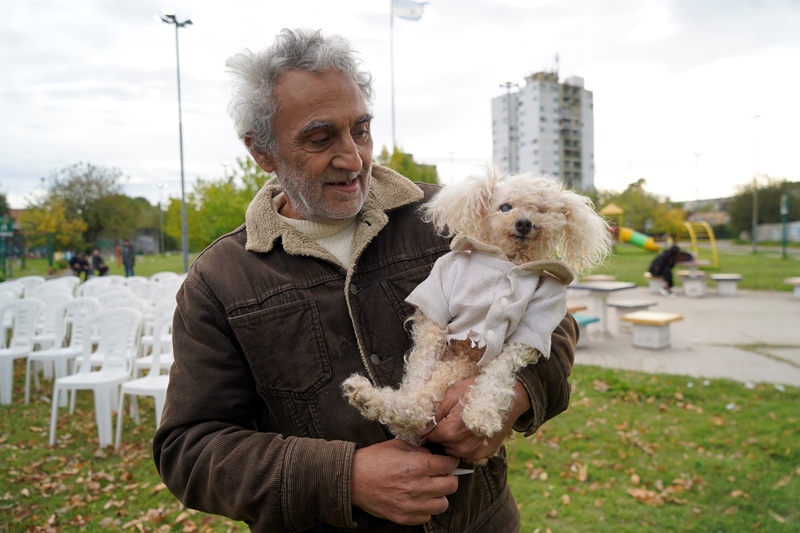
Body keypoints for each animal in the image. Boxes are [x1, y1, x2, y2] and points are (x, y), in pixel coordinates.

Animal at [342, 166, 613, 447]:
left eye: (540, 210)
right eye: (505, 207)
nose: (523, 222)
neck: (510, 261)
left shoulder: (536, 319)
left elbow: (498, 375)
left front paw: (482, 415)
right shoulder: (437, 302)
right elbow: (422, 361)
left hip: (458, 369)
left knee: (421, 409)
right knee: (418, 404)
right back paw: (369, 396)